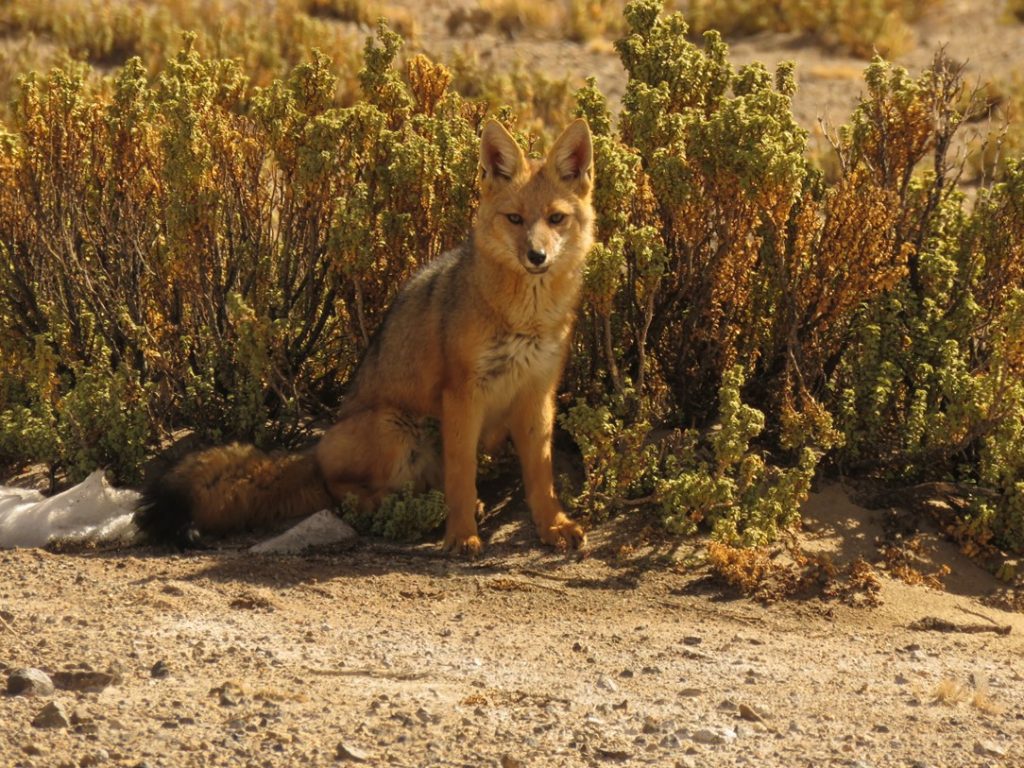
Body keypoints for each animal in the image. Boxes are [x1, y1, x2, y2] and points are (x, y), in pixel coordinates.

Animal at [135, 118, 595, 555]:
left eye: (555, 218)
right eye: (514, 219)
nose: (537, 256)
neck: (525, 320)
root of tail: (316, 451)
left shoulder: (538, 393)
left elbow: (542, 477)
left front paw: (553, 526)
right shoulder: (463, 394)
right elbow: (462, 476)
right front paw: (462, 536)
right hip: (399, 429)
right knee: (343, 494)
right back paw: (405, 509)